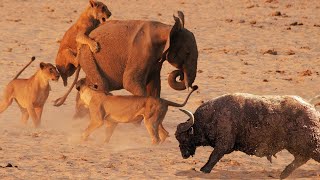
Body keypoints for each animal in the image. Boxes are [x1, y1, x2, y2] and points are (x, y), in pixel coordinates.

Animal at [55, 11, 199, 112]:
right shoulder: (140, 52)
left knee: (88, 83)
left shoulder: (156, 59)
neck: (167, 28)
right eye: (187, 53)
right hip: (88, 55)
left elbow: (154, 86)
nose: (194, 87)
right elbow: (130, 82)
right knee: (100, 85)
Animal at [175, 93, 320, 179]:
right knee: (301, 159)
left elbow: (213, 157)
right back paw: (284, 173)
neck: (212, 116)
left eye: (183, 137)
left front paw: (204, 169)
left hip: (307, 145)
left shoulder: (223, 145)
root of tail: (313, 111)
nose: (184, 155)